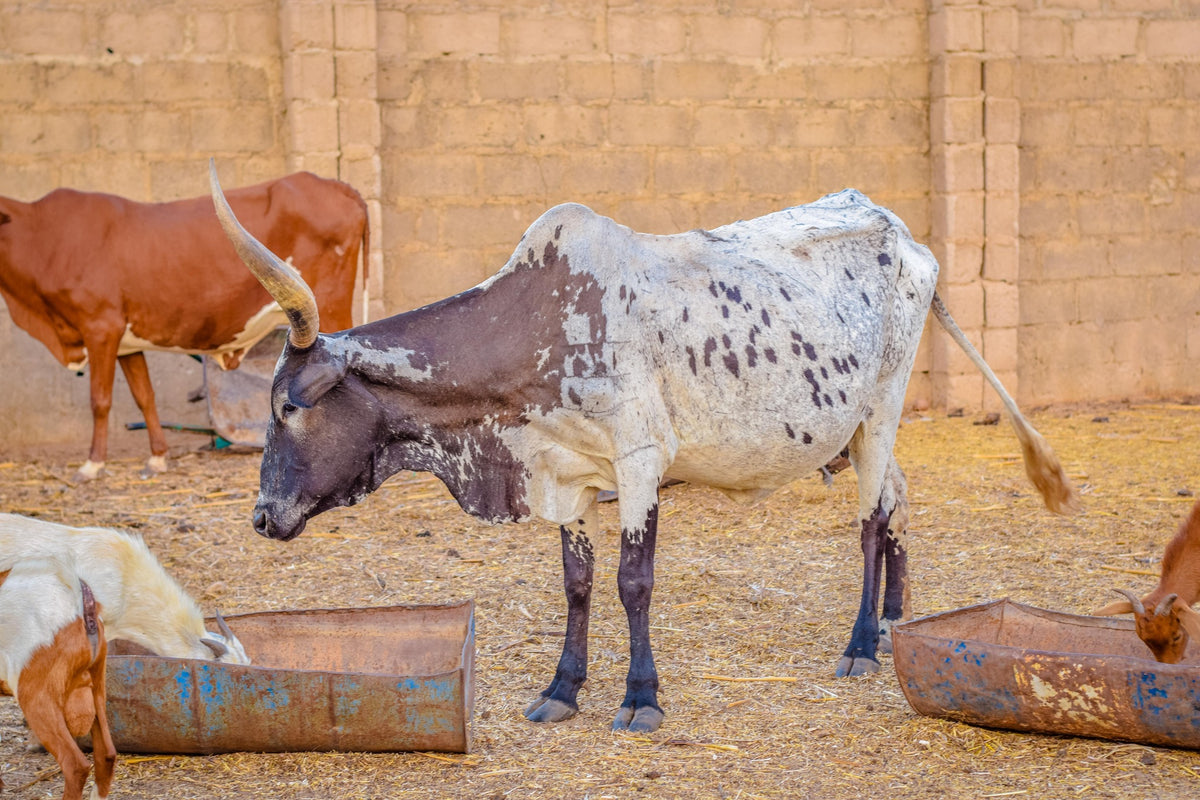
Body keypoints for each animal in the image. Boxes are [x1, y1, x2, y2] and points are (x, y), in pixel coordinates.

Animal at [0, 171, 368, 481]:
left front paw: (92, 465)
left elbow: (99, 399)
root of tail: (335, 184)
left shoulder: (100, 327)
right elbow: (144, 396)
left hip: (330, 305)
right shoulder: (125, 341)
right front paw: (157, 458)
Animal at [211, 163, 1078, 733]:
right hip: (860, 425)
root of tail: (903, 234)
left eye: (289, 405)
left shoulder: (637, 464)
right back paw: (897, 613)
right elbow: (577, 583)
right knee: (896, 498)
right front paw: (562, 689)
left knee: (869, 520)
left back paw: (863, 642)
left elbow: (633, 582)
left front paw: (639, 696)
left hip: (887, 403)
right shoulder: (564, 473)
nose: (260, 517)